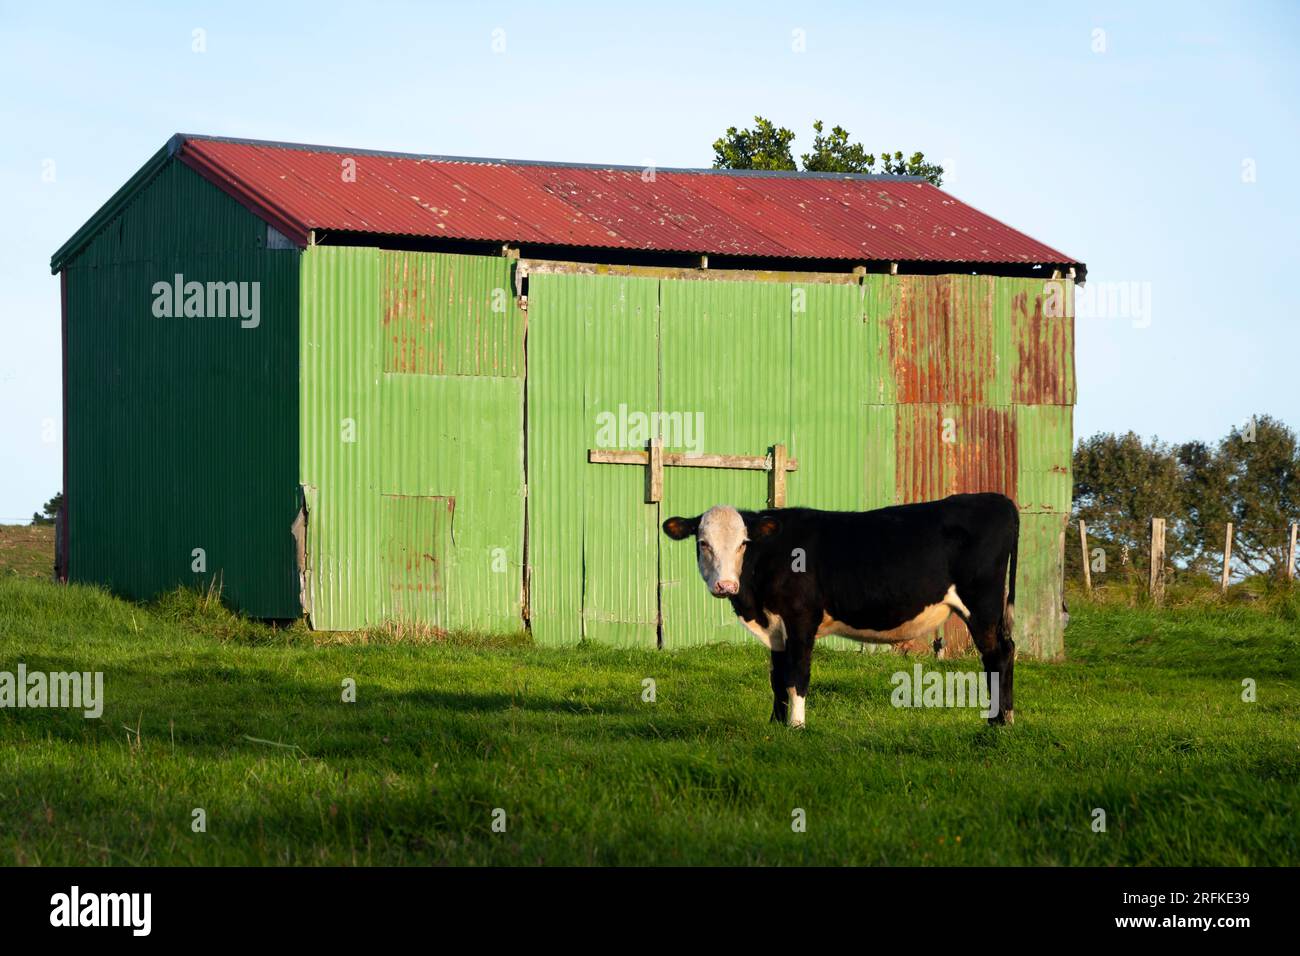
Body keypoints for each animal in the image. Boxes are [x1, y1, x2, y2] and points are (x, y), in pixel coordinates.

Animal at [665, 496, 1019, 728]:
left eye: (743, 543)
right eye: (703, 542)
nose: (725, 585)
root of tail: (997, 499)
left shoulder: (801, 619)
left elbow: (798, 675)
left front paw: (796, 726)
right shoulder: (776, 627)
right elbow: (777, 677)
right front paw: (774, 725)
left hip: (982, 605)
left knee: (997, 655)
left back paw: (997, 722)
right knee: (1007, 650)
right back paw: (1008, 718)